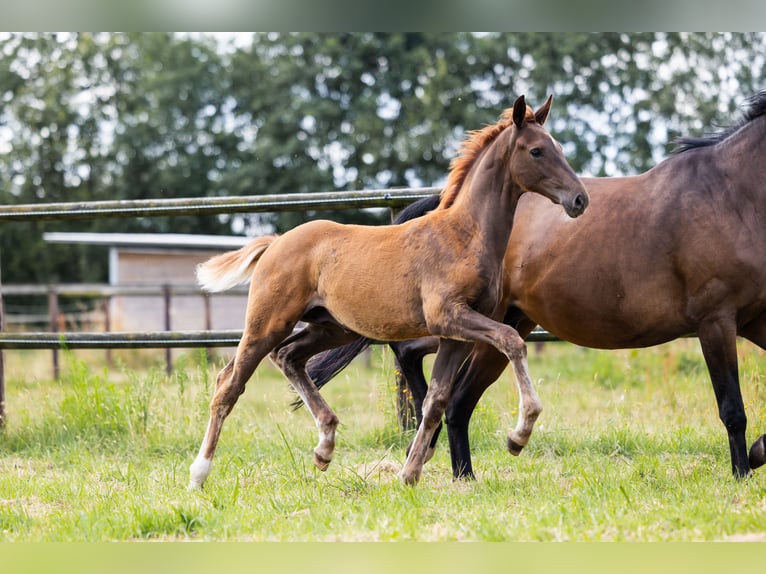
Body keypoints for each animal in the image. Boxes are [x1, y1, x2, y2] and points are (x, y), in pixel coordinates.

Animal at [189, 95, 592, 490]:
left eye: (558, 147)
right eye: (537, 151)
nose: (579, 200)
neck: (464, 236)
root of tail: (275, 243)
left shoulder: (454, 335)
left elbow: (435, 400)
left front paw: (409, 474)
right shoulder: (449, 317)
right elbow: (512, 341)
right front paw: (518, 435)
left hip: (333, 327)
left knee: (289, 357)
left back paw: (324, 448)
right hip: (267, 322)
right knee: (229, 384)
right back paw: (199, 475)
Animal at [304, 88, 766, 482]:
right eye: (540, 150)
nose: (578, 201)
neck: (730, 195)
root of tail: (444, 209)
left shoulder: (755, 319)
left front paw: (758, 455)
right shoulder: (716, 320)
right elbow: (732, 408)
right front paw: (742, 474)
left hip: (505, 324)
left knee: (457, 399)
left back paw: (463, 474)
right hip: (475, 321)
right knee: (416, 358)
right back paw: (434, 448)